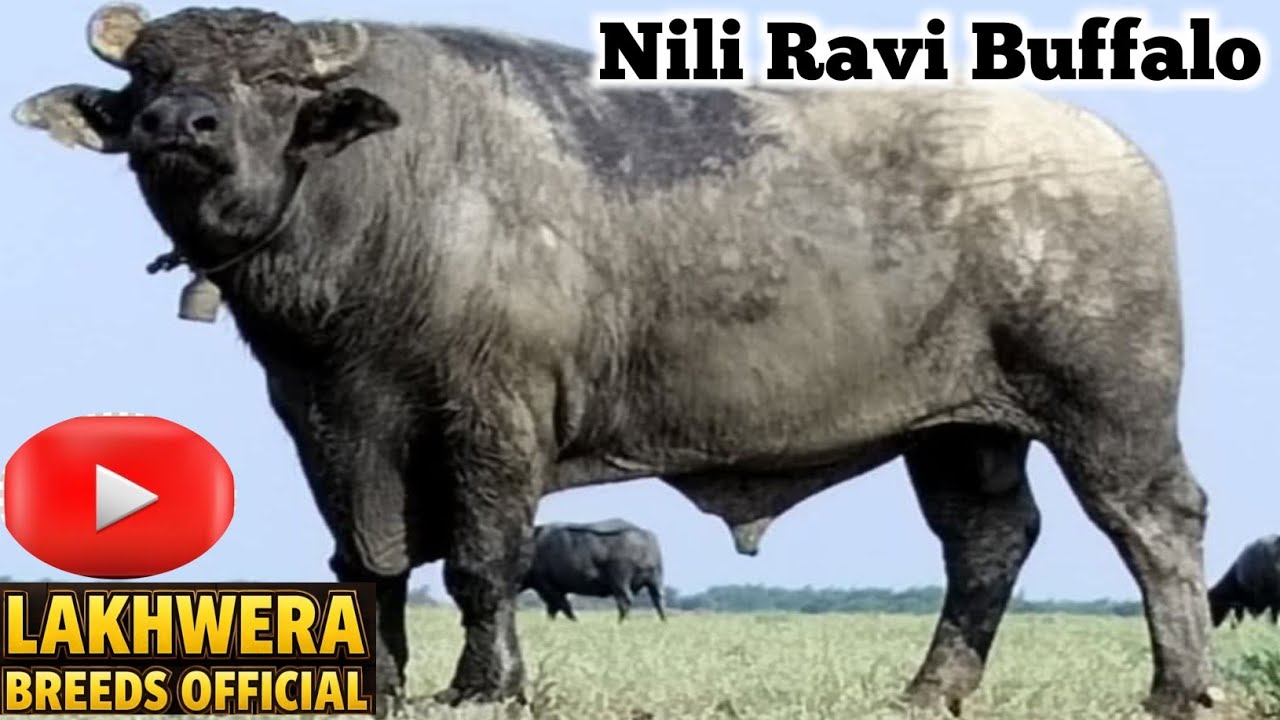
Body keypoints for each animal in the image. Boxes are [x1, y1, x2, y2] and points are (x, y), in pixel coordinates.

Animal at [520, 518, 667, 622]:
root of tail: (642, 535)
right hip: (655, 579)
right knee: (658, 599)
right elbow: (554, 609)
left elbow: (563, 607)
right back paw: (664, 622)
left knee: (625, 600)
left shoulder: (547, 587)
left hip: (620, 580)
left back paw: (621, 623)